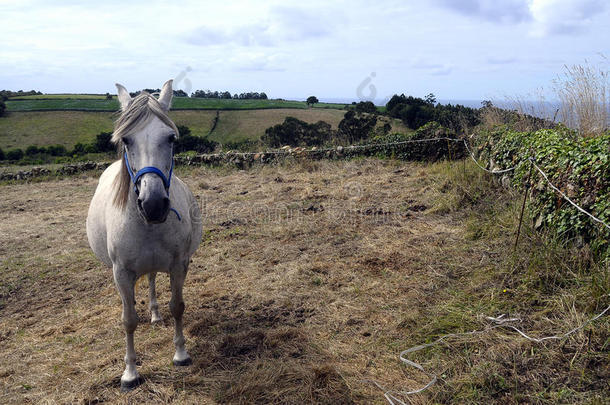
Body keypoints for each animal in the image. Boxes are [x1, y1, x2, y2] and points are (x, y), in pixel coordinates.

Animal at [85, 79, 202, 392]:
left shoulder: (178, 264)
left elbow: (177, 307)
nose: (153, 204)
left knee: (150, 280)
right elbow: (128, 320)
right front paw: (130, 373)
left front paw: (181, 354)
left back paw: (155, 313)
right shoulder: (122, 272)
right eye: (126, 140)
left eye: (171, 138)